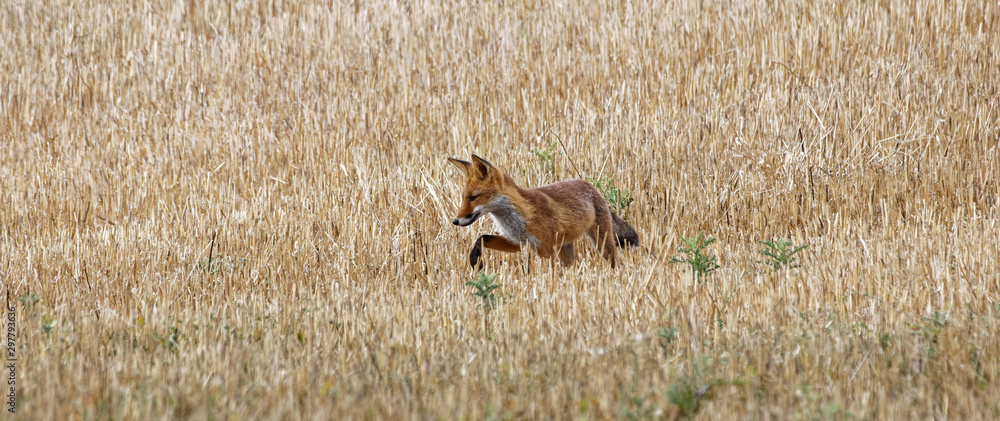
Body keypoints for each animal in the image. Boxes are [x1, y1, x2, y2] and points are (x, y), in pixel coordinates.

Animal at [448, 154, 639, 269]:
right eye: (463, 197)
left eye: (473, 197)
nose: (455, 221)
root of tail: (590, 186)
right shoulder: (518, 242)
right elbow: (482, 238)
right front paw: (475, 259)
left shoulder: (546, 249)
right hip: (565, 249)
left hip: (602, 243)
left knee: (616, 262)